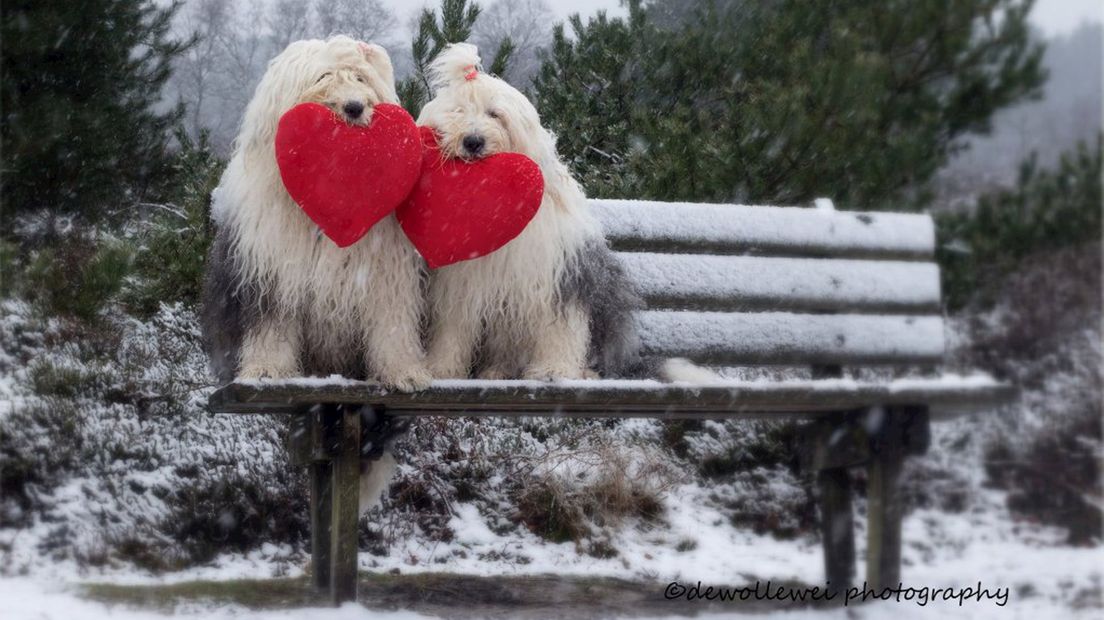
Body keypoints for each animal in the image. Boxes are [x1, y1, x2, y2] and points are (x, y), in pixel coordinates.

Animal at [203, 36, 426, 511]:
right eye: (324, 76)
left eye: (360, 77)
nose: (355, 107)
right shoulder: (271, 273)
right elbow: (271, 327)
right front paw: (267, 371)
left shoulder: (385, 277)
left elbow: (391, 326)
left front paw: (405, 373)